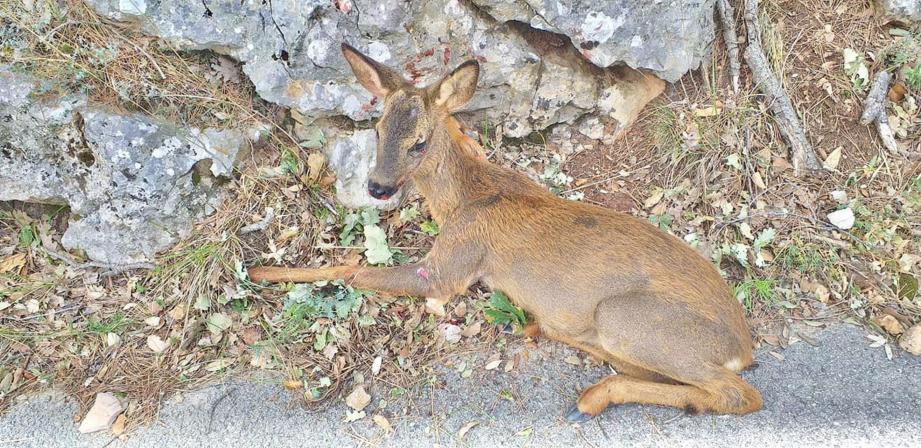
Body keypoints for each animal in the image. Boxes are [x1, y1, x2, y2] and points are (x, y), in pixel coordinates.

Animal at [250, 42, 760, 420]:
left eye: (419, 142)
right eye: (376, 130)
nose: (377, 186)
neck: (462, 200)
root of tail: (743, 346)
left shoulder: (452, 265)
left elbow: (354, 271)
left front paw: (261, 273)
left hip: (626, 318)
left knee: (739, 394)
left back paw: (590, 397)